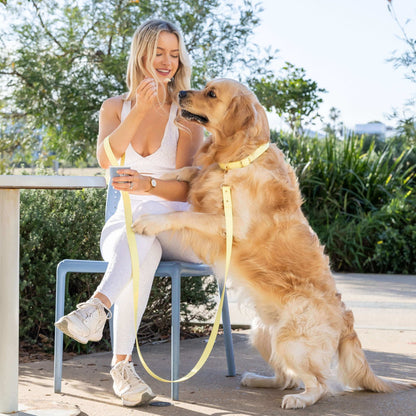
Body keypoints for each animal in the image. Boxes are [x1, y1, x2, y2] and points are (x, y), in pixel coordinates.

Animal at [132, 79, 412, 410]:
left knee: (318, 384)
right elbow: (191, 172)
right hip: (262, 333)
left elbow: (182, 213)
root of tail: (346, 320)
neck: (238, 158)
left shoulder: (228, 224)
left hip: (290, 340)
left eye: (211, 93)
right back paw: (257, 379)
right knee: (285, 377)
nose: (181, 93)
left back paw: (298, 399)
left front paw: (149, 220)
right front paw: (164, 173)